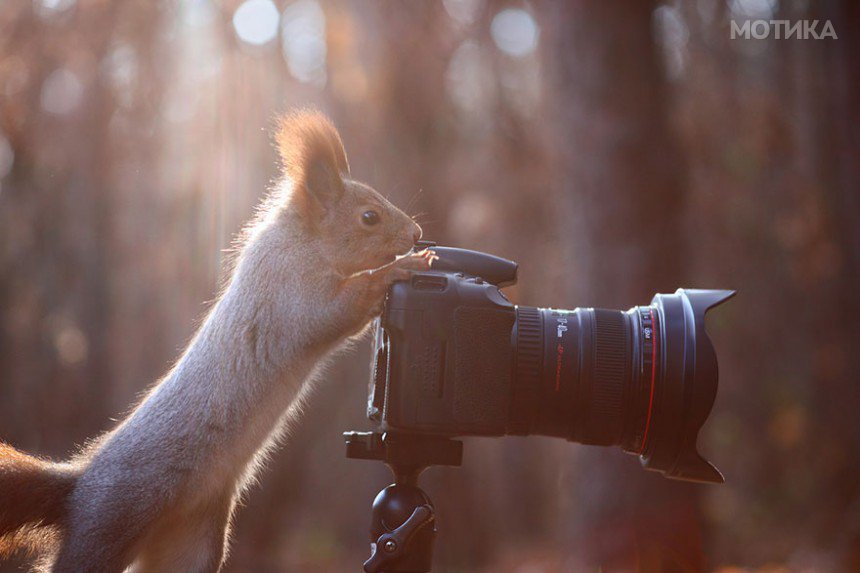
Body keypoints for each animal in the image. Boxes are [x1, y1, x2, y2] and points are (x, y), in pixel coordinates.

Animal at [0, 109, 434, 568]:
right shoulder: (292, 296)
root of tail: (79, 488)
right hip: (109, 525)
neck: (301, 242)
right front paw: (402, 267)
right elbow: (341, 307)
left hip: (192, 544)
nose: (416, 233)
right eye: (369, 216)